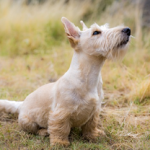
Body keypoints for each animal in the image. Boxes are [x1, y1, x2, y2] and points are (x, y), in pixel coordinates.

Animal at [0, 17, 130, 146]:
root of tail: (21, 104)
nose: (128, 30)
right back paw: (43, 131)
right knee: (34, 129)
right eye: (96, 32)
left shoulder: (94, 111)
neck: (89, 77)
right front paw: (60, 143)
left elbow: (90, 126)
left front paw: (93, 136)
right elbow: (60, 129)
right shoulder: (61, 113)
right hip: (27, 122)